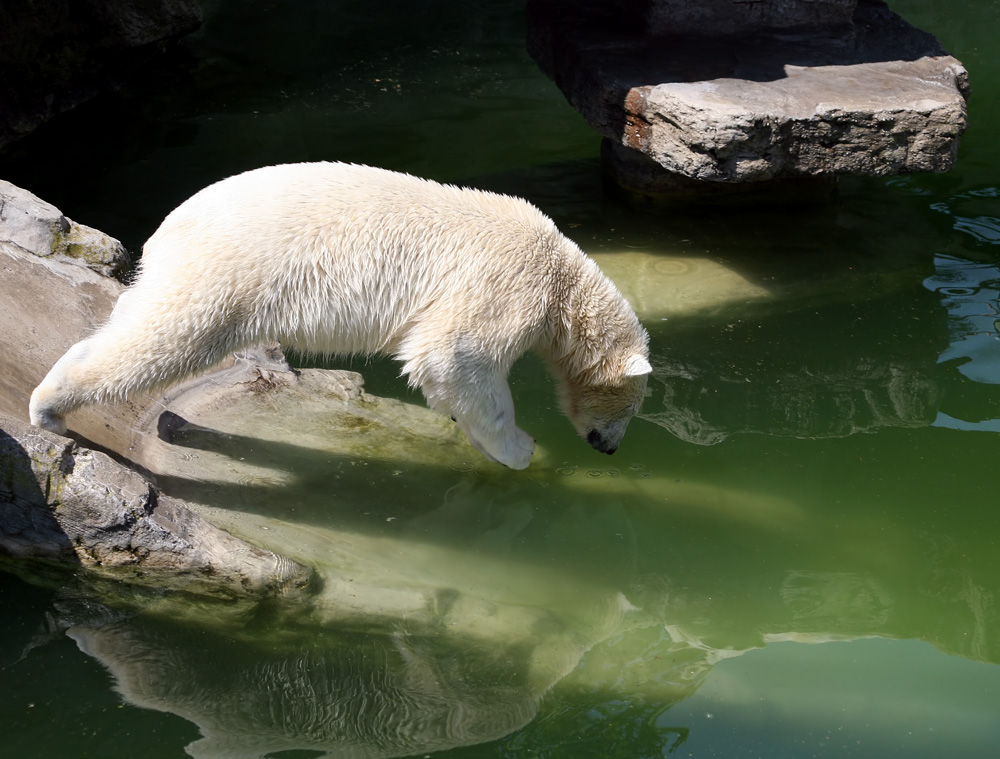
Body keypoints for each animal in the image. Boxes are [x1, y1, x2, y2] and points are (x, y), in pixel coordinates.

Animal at [27, 163, 652, 466]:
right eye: (633, 407)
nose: (611, 448)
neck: (564, 278)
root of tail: (169, 226)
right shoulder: (507, 284)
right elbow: (453, 355)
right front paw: (520, 450)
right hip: (226, 269)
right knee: (167, 336)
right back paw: (49, 407)